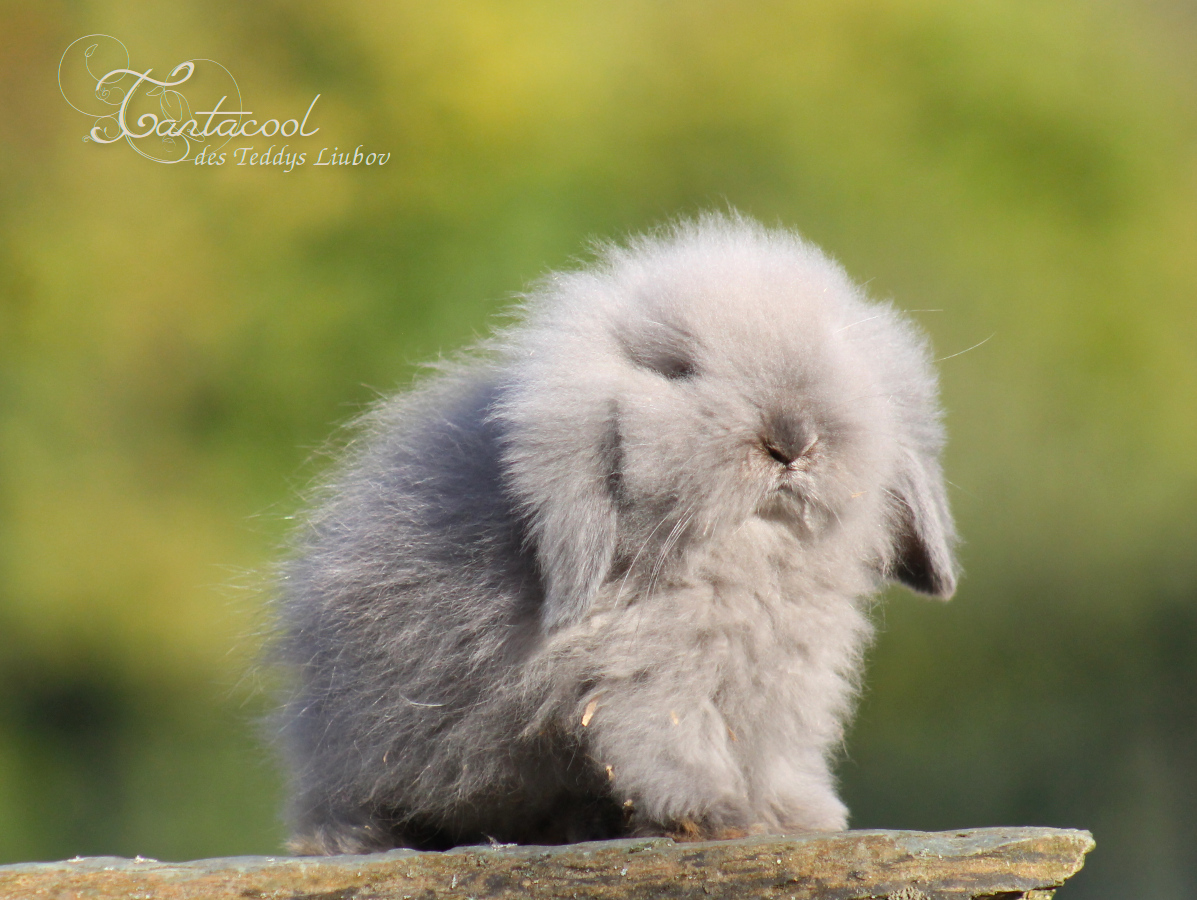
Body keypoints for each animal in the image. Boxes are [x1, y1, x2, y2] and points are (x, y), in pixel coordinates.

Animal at [275, 212, 957, 855]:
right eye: (677, 369)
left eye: (842, 357)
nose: (791, 438)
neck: (747, 562)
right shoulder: (647, 676)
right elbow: (671, 743)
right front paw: (719, 816)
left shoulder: (787, 684)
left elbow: (776, 758)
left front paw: (802, 817)